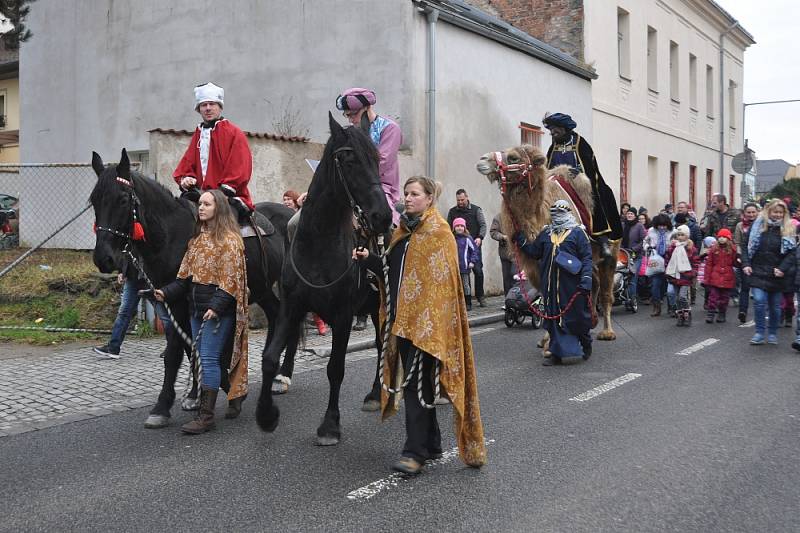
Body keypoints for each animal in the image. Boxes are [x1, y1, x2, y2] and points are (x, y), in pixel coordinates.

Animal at [90, 149, 290, 428]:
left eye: (122, 199)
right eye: (94, 201)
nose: (103, 258)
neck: (172, 237)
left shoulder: (180, 303)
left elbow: (176, 351)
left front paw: (162, 406)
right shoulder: (168, 301)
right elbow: (188, 345)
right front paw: (196, 394)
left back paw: (282, 376)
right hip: (262, 288)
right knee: (275, 314)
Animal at [258, 113, 392, 444]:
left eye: (377, 160)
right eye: (349, 160)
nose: (382, 216)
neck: (319, 242)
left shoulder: (343, 316)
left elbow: (336, 368)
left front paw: (330, 424)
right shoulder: (291, 307)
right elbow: (269, 358)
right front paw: (266, 415)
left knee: (382, 344)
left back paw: (376, 394)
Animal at [476, 145, 620, 344]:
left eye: (513, 157)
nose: (482, 160)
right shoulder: (536, 264)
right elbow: (546, 297)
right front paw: (546, 339)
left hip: (610, 252)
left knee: (606, 290)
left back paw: (607, 332)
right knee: (594, 283)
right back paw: (590, 322)